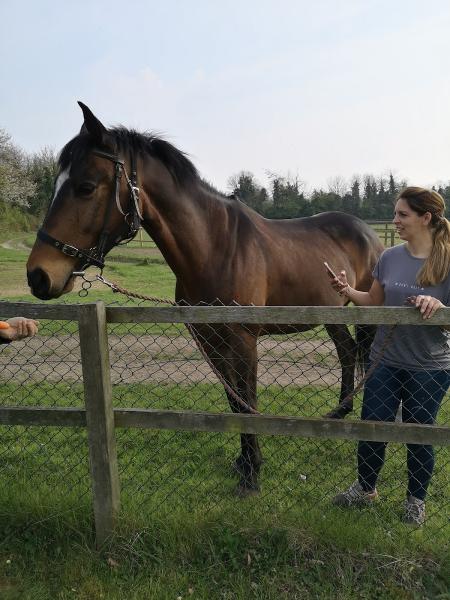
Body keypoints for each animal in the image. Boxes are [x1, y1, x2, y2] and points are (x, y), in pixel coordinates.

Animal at [26, 104, 382, 496]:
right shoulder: (211, 341)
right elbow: (233, 402)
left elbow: (247, 402)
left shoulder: (243, 341)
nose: (38, 275)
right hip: (332, 311)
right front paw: (244, 463)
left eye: (86, 187)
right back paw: (339, 412)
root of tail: (367, 232)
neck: (215, 247)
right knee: (347, 351)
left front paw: (252, 476)